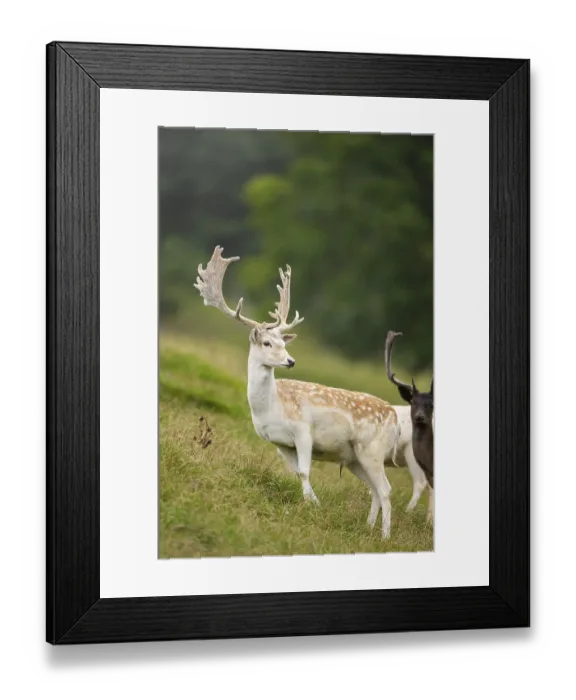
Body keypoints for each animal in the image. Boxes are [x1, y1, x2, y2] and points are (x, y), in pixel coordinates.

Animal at [194, 246, 400, 539]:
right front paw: (313, 504)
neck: (272, 407)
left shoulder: (303, 430)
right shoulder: (279, 443)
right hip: (354, 457)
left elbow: (304, 472)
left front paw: (313, 507)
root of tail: (395, 418)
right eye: (267, 342)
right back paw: (369, 528)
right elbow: (297, 473)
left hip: (372, 449)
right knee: (374, 489)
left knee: (386, 490)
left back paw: (384, 537)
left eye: (283, 342)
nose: (291, 361)